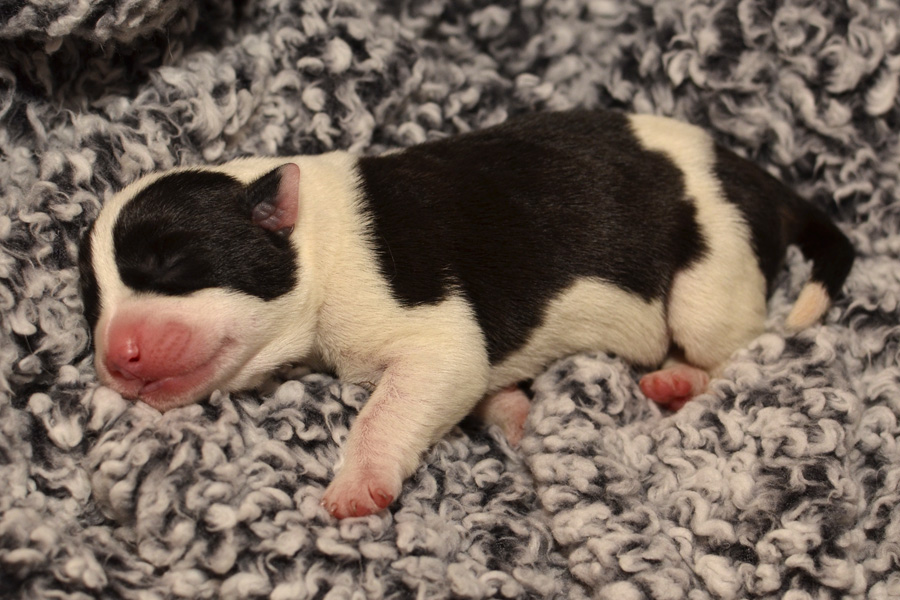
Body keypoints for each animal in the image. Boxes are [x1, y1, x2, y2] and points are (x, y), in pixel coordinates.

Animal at [75, 110, 852, 516]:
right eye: (93, 302)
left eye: (173, 265)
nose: (117, 357)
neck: (315, 242)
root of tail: (753, 175)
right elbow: (485, 391)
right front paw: (512, 414)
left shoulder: (431, 335)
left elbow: (392, 404)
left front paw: (355, 484)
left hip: (707, 282)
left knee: (735, 346)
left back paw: (679, 379)